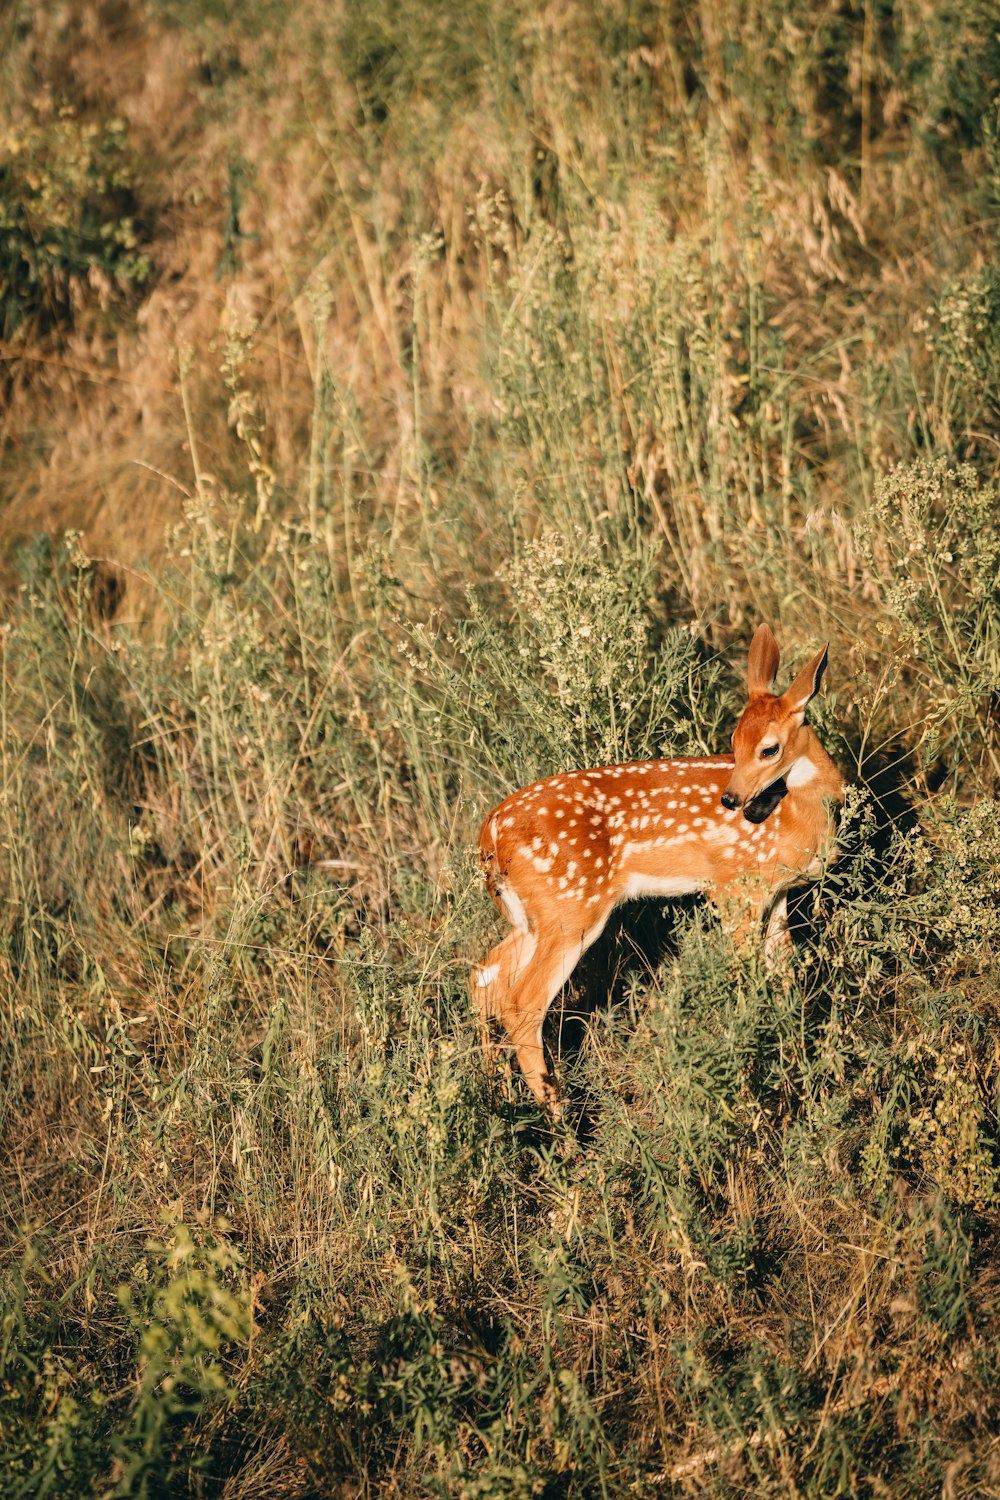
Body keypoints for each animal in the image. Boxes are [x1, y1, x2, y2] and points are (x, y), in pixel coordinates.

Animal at [473, 624, 851, 1116]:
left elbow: (786, 976)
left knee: (486, 975)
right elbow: (746, 982)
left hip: (534, 915)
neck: (796, 813)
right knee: (521, 1001)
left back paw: (498, 1090)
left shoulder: (778, 894)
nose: (731, 799)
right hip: (572, 906)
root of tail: (491, 832)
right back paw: (561, 1115)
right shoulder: (732, 888)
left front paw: (797, 1056)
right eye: (733, 743)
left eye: (768, 748)